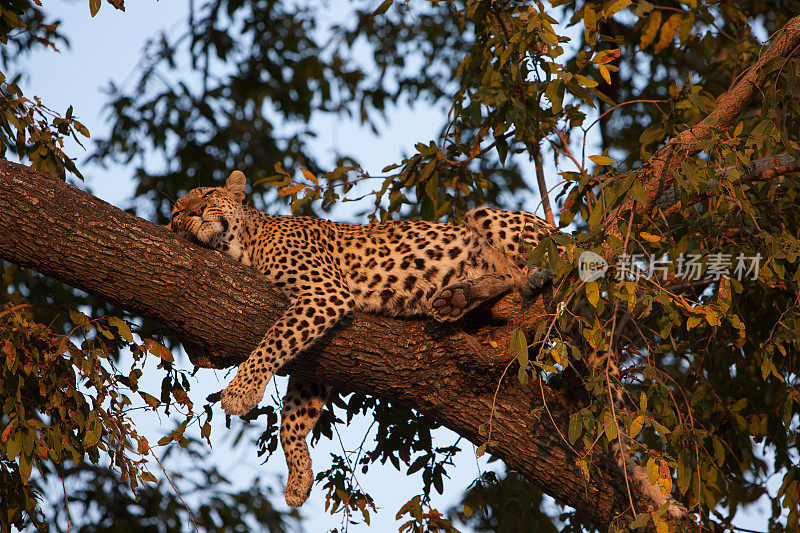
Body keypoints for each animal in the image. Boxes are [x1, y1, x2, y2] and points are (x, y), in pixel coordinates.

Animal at [169, 170, 688, 520]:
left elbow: (272, 341)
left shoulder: (324, 295)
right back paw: (455, 298)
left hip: (494, 219)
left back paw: (520, 277)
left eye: (208, 195)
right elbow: (295, 415)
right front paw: (298, 477)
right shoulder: (318, 349)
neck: (243, 245)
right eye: (176, 212)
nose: (192, 213)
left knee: (539, 268)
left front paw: (240, 392)